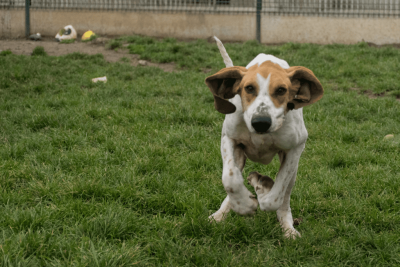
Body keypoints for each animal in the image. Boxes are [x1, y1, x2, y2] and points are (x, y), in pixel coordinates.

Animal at [205, 37, 324, 239]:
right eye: (249, 88)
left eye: (281, 90)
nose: (261, 122)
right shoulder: (228, 138)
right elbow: (229, 179)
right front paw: (244, 205)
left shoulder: (295, 148)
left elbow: (274, 197)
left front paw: (262, 187)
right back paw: (220, 215)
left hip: (294, 170)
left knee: (284, 198)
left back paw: (288, 228)